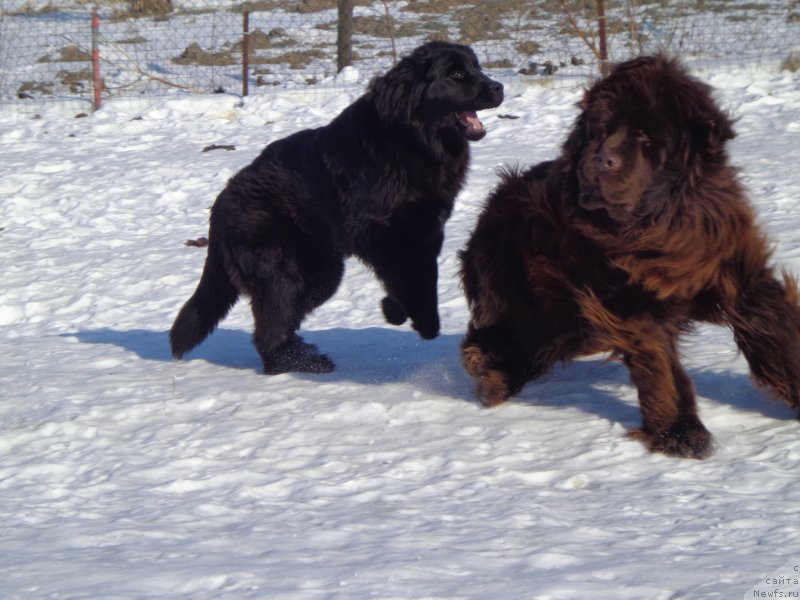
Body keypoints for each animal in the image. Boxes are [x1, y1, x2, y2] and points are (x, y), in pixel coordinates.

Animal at [172, 39, 504, 372]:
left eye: (477, 67)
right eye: (456, 74)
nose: (499, 87)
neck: (411, 141)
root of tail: (219, 205)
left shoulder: (427, 229)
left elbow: (418, 274)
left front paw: (397, 309)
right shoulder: (376, 229)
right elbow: (411, 276)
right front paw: (422, 320)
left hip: (319, 272)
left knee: (281, 320)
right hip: (286, 270)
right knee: (270, 329)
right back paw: (303, 364)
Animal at [460, 56, 800, 460]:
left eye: (645, 137)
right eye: (600, 131)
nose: (600, 160)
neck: (660, 228)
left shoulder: (739, 274)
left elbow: (776, 331)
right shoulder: (629, 304)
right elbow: (661, 364)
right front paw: (680, 433)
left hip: (562, 317)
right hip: (527, 298)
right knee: (495, 338)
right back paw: (491, 374)